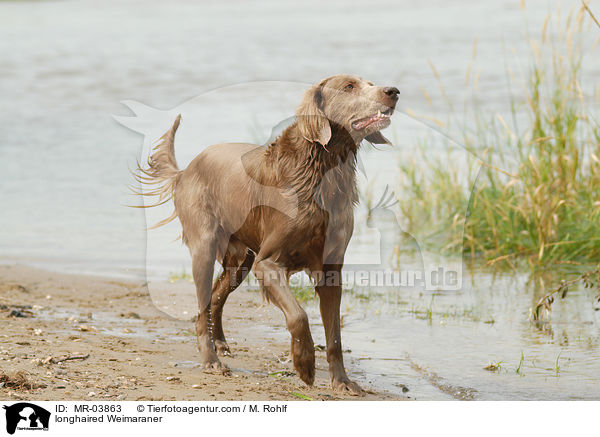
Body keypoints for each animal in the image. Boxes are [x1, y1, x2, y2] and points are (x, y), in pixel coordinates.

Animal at [136, 75, 398, 396]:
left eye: (370, 83)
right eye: (349, 86)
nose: (393, 92)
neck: (320, 172)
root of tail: (185, 170)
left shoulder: (330, 269)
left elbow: (335, 336)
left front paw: (342, 381)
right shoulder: (268, 262)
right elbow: (298, 315)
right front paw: (304, 364)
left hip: (240, 262)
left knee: (214, 299)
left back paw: (220, 342)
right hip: (206, 247)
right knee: (202, 306)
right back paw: (211, 360)